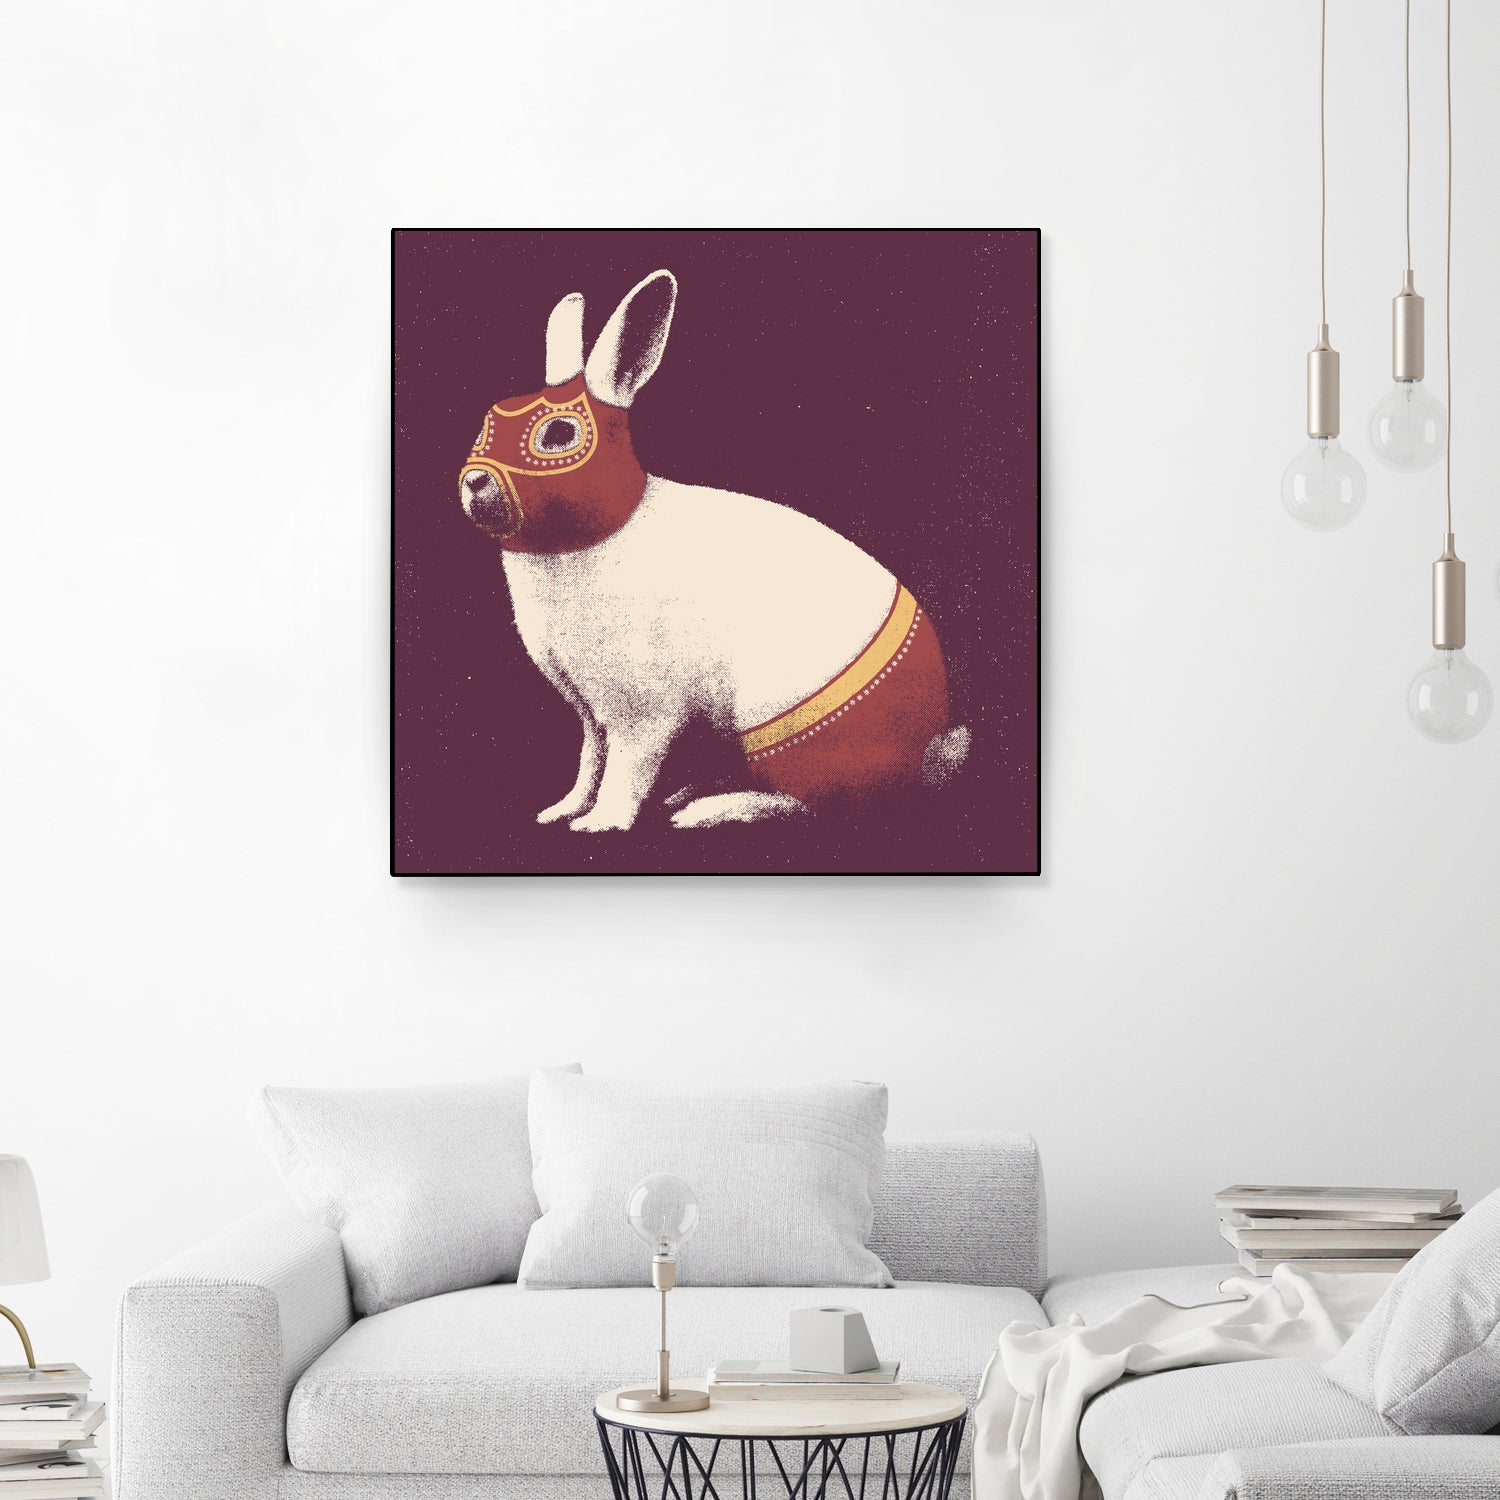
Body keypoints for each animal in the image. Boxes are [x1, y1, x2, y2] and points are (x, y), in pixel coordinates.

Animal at [458, 269, 970, 833]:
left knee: (806, 802)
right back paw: (689, 794)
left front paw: (602, 823)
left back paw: (705, 811)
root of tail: (926, 751)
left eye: (558, 434)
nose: (474, 481)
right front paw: (561, 810)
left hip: (779, 727)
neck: (605, 529)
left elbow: (625, 768)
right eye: (487, 422)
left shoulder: (642, 712)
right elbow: (590, 759)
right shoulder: (590, 713)